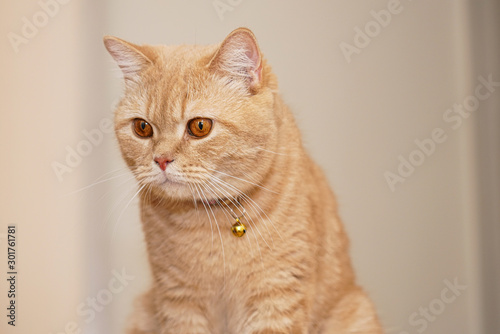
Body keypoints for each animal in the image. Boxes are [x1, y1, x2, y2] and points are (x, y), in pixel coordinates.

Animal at [103, 27, 380, 332]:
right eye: (142, 127)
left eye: (200, 126)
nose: (161, 160)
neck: (210, 223)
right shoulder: (178, 301)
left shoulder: (277, 297)